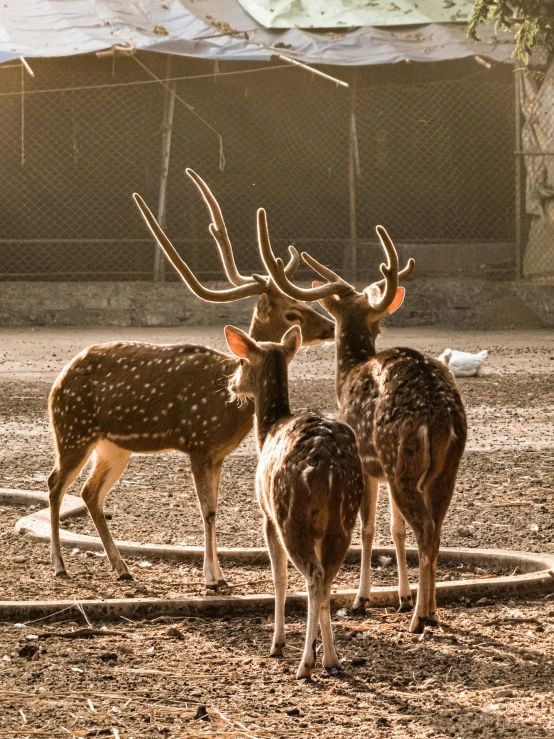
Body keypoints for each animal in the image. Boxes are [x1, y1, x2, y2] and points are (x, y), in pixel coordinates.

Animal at [46, 171, 332, 592]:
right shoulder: (197, 442)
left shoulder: (217, 453)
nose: (329, 327)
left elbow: (214, 508)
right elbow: (207, 509)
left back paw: (122, 567)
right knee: (55, 483)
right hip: (72, 430)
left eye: (307, 303)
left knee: (89, 491)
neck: (229, 407)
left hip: (112, 445)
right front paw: (213, 578)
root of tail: (59, 380)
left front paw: (218, 575)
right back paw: (60, 565)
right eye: (293, 312)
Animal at [256, 215, 464, 636]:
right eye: (379, 322)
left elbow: (368, 529)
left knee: (425, 529)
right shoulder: (380, 471)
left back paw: (420, 618)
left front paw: (361, 600)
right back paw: (431, 610)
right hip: (445, 470)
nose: (323, 331)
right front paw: (400, 597)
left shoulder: (369, 465)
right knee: (434, 528)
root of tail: (442, 417)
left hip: (400, 459)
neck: (347, 374)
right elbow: (395, 530)